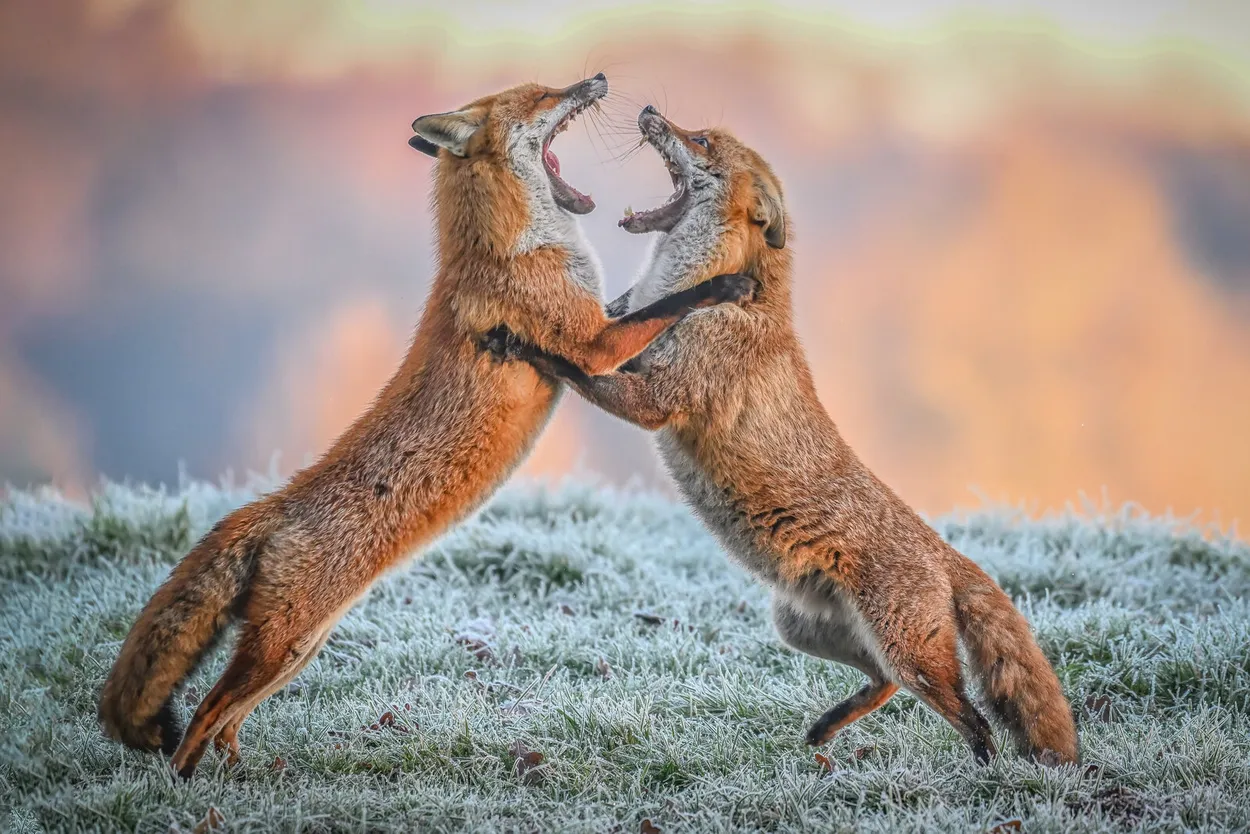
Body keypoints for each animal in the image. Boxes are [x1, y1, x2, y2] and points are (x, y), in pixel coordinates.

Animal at [97, 77, 755, 779]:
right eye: (539, 95)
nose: (597, 78)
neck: (512, 247)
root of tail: (265, 509)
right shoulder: (593, 345)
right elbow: (669, 305)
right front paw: (727, 284)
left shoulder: (595, 329)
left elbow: (636, 307)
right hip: (284, 646)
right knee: (200, 717)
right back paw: (188, 790)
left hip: (296, 649)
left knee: (227, 720)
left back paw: (248, 775)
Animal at [497, 105, 1080, 766]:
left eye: (702, 141)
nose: (648, 110)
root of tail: (945, 552)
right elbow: (615, 331)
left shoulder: (658, 400)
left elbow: (581, 368)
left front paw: (525, 344)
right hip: (802, 628)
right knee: (884, 683)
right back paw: (825, 730)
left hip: (906, 652)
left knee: (972, 717)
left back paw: (982, 774)